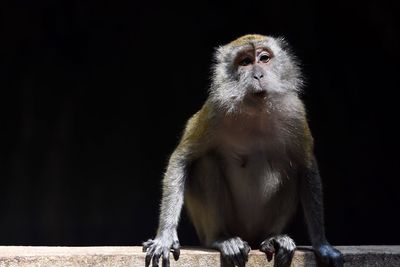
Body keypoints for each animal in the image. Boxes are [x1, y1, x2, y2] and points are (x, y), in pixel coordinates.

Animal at [143, 34, 344, 267]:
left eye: (264, 58)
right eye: (245, 62)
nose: (258, 75)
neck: (257, 109)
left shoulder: (295, 111)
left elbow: (306, 166)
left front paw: (321, 245)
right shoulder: (216, 111)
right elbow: (182, 159)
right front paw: (165, 237)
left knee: (292, 169)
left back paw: (273, 238)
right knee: (205, 164)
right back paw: (222, 239)